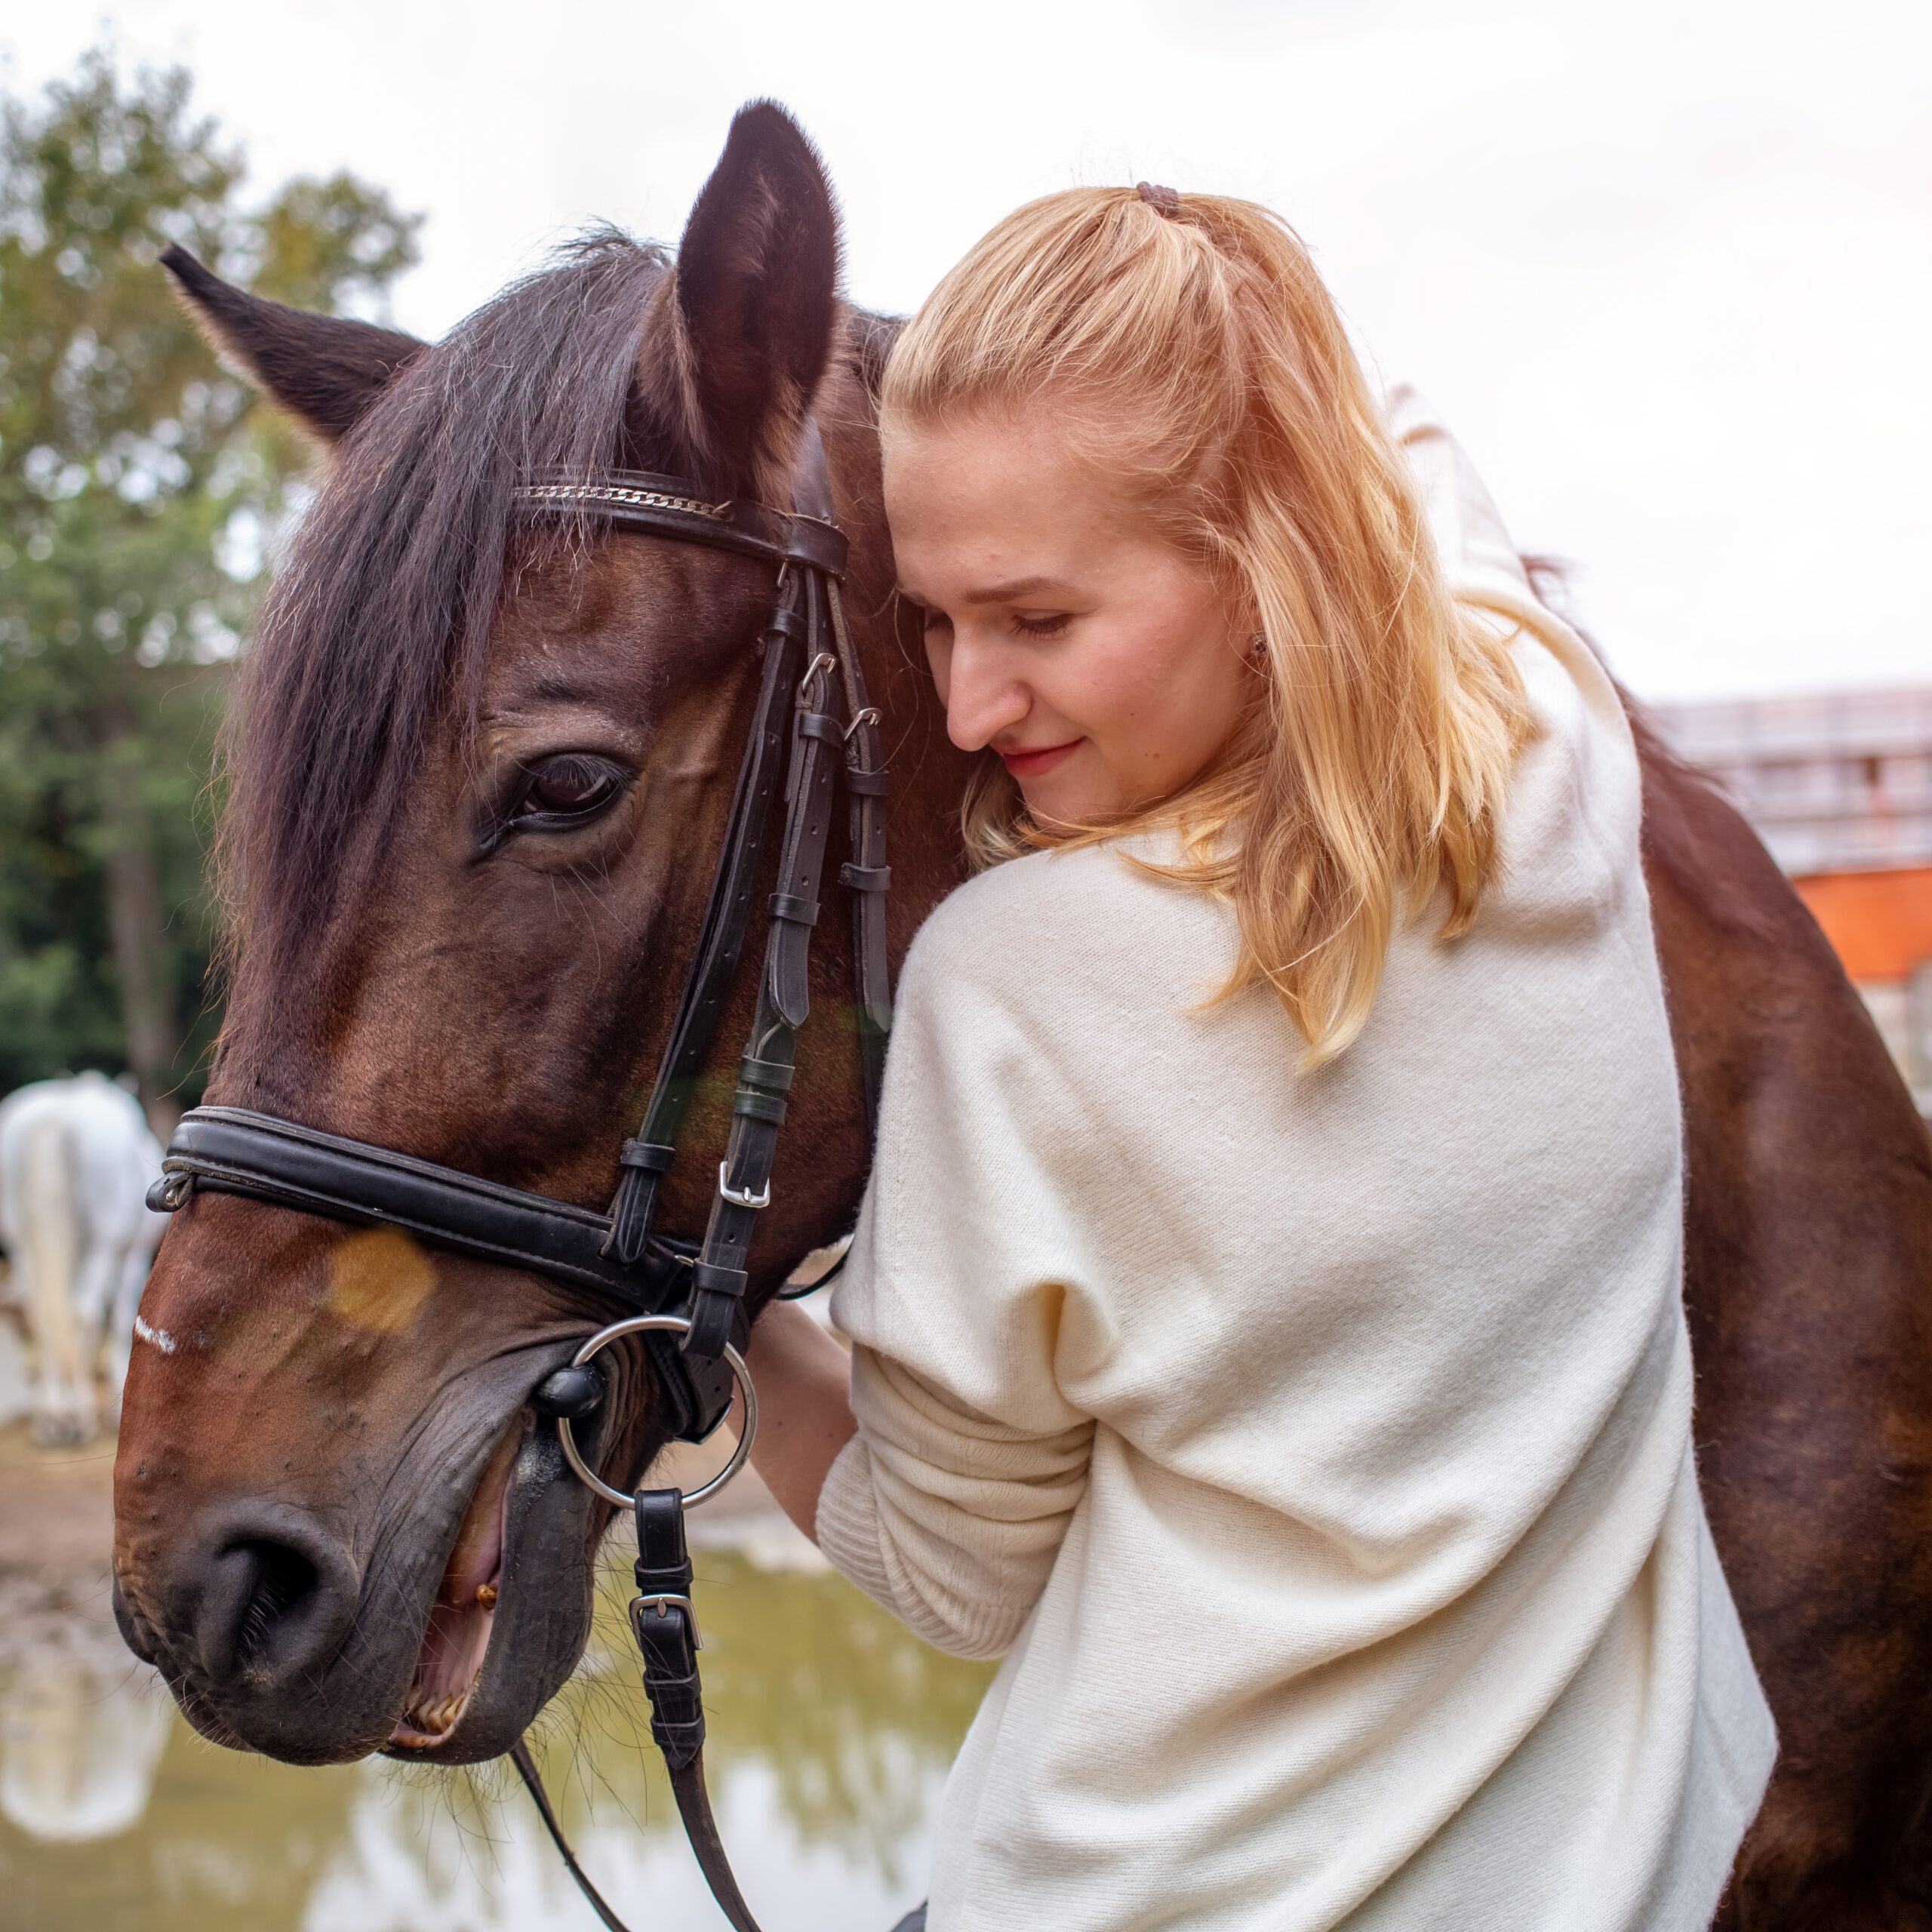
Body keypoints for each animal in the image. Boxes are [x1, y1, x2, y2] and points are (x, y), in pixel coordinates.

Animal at [0, 1071, 165, 1443]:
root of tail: (60, 1114)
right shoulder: (132, 1257)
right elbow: (120, 1321)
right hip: (102, 1245)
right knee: (82, 1313)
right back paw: (77, 1416)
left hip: (23, 1246)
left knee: (44, 1315)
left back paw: (53, 1418)